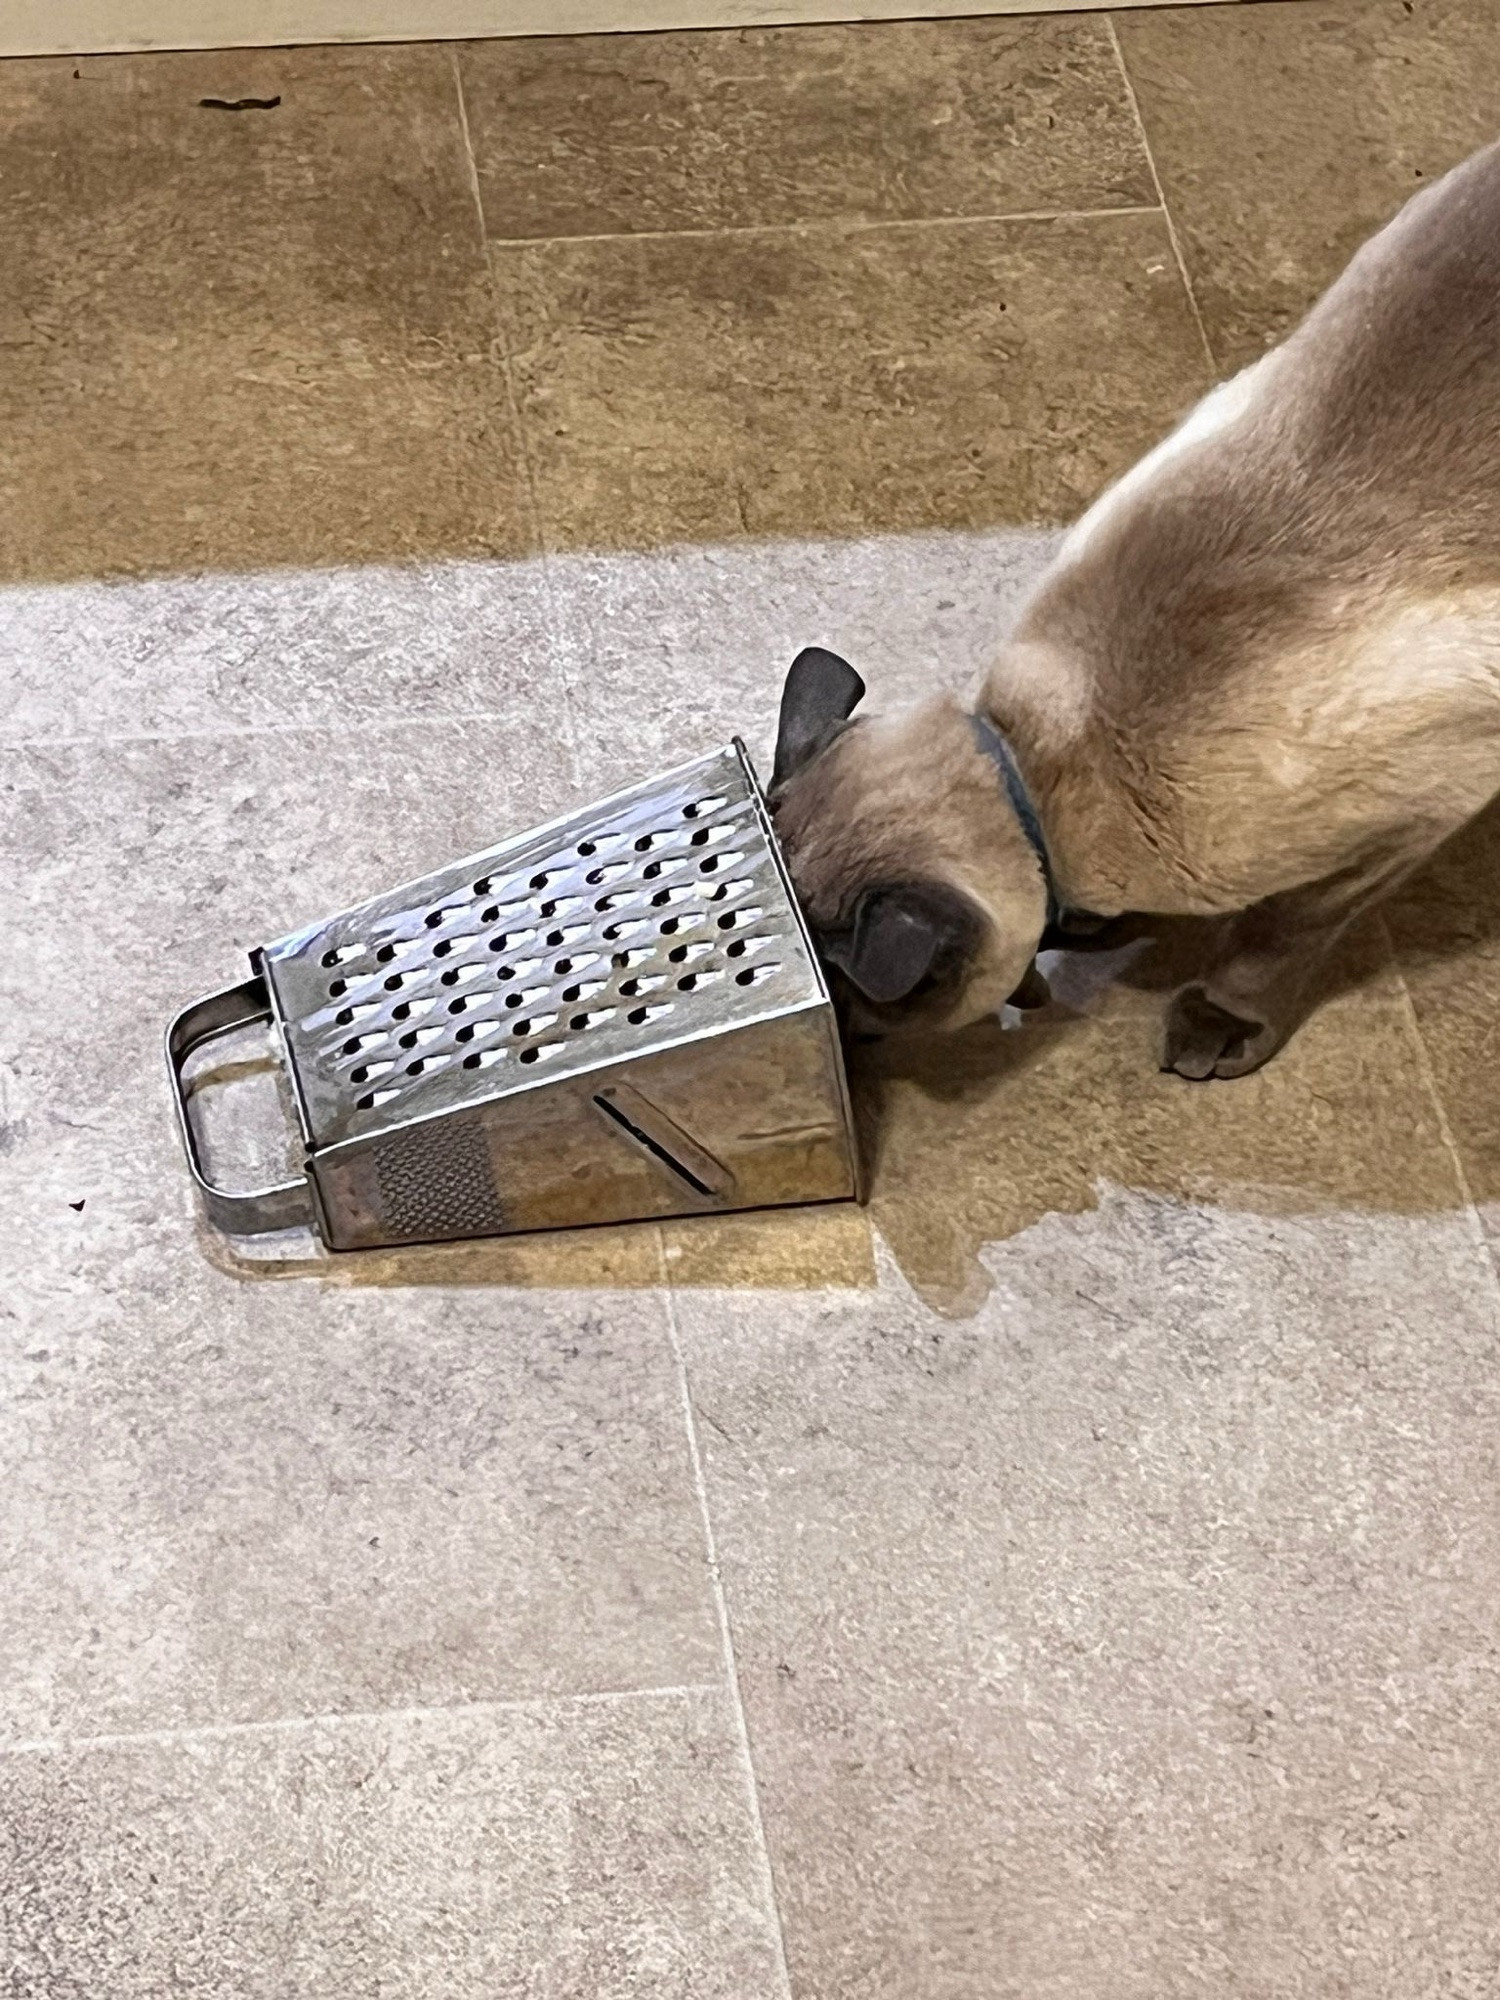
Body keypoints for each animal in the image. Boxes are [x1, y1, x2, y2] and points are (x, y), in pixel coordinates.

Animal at [768, 137, 1500, 1080]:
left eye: (851, 1002)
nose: (846, 1054)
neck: (1047, 774)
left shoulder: (1400, 825)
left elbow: (1276, 938)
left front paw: (1215, 1021)